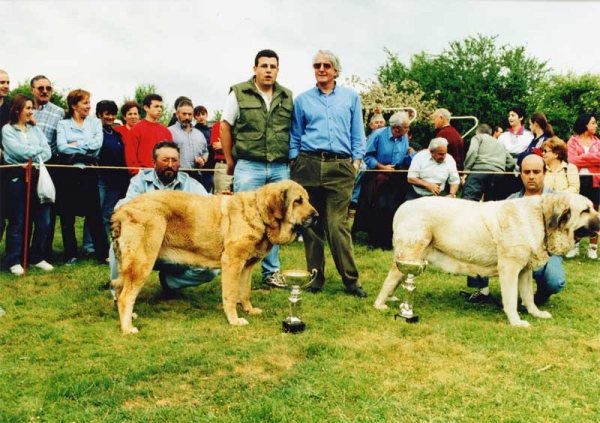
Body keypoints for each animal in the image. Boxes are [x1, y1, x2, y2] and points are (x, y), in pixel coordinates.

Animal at [376, 193, 600, 328]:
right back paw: (380, 304)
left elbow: (528, 296)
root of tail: (404, 206)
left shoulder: (524, 271)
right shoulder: (510, 268)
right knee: (390, 278)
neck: (542, 219)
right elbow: (510, 299)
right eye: (585, 210)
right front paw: (516, 321)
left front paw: (535, 313)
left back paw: (393, 299)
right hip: (409, 254)